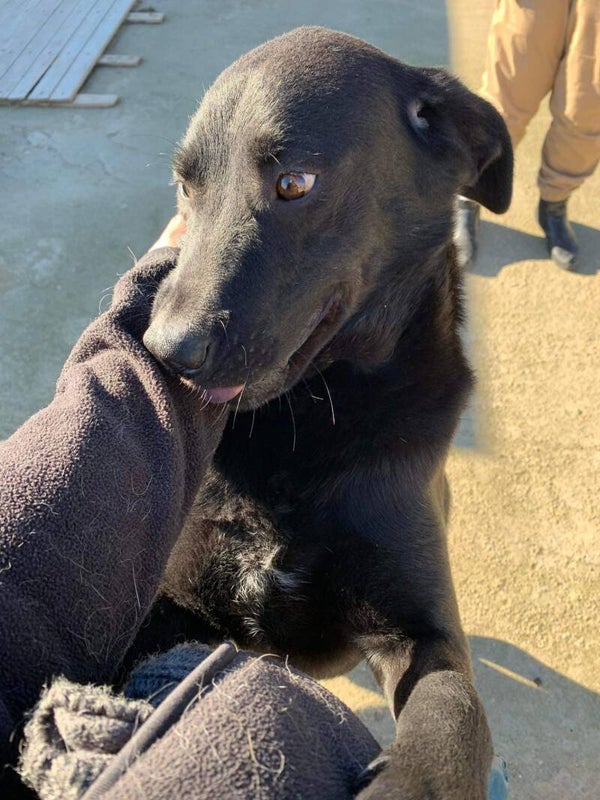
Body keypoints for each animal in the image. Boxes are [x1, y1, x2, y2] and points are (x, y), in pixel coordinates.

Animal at [139, 26, 512, 799]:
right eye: (187, 187)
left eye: (293, 184)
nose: (165, 350)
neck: (300, 431)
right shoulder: (170, 606)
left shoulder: (424, 635)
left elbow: (455, 715)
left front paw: (408, 781)